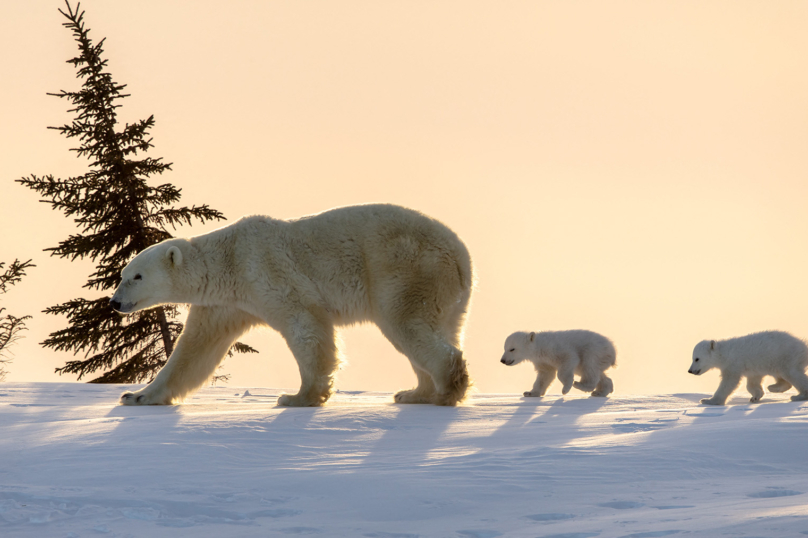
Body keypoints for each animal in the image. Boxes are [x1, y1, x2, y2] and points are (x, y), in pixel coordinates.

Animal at [110, 203, 470, 404]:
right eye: (122, 273)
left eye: (137, 276)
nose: (115, 302)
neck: (229, 259)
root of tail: (461, 255)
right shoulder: (226, 303)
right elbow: (195, 349)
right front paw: (136, 396)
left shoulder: (265, 269)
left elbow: (305, 325)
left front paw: (297, 397)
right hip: (446, 294)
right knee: (436, 329)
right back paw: (415, 393)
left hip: (406, 269)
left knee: (407, 325)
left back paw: (446, 390)